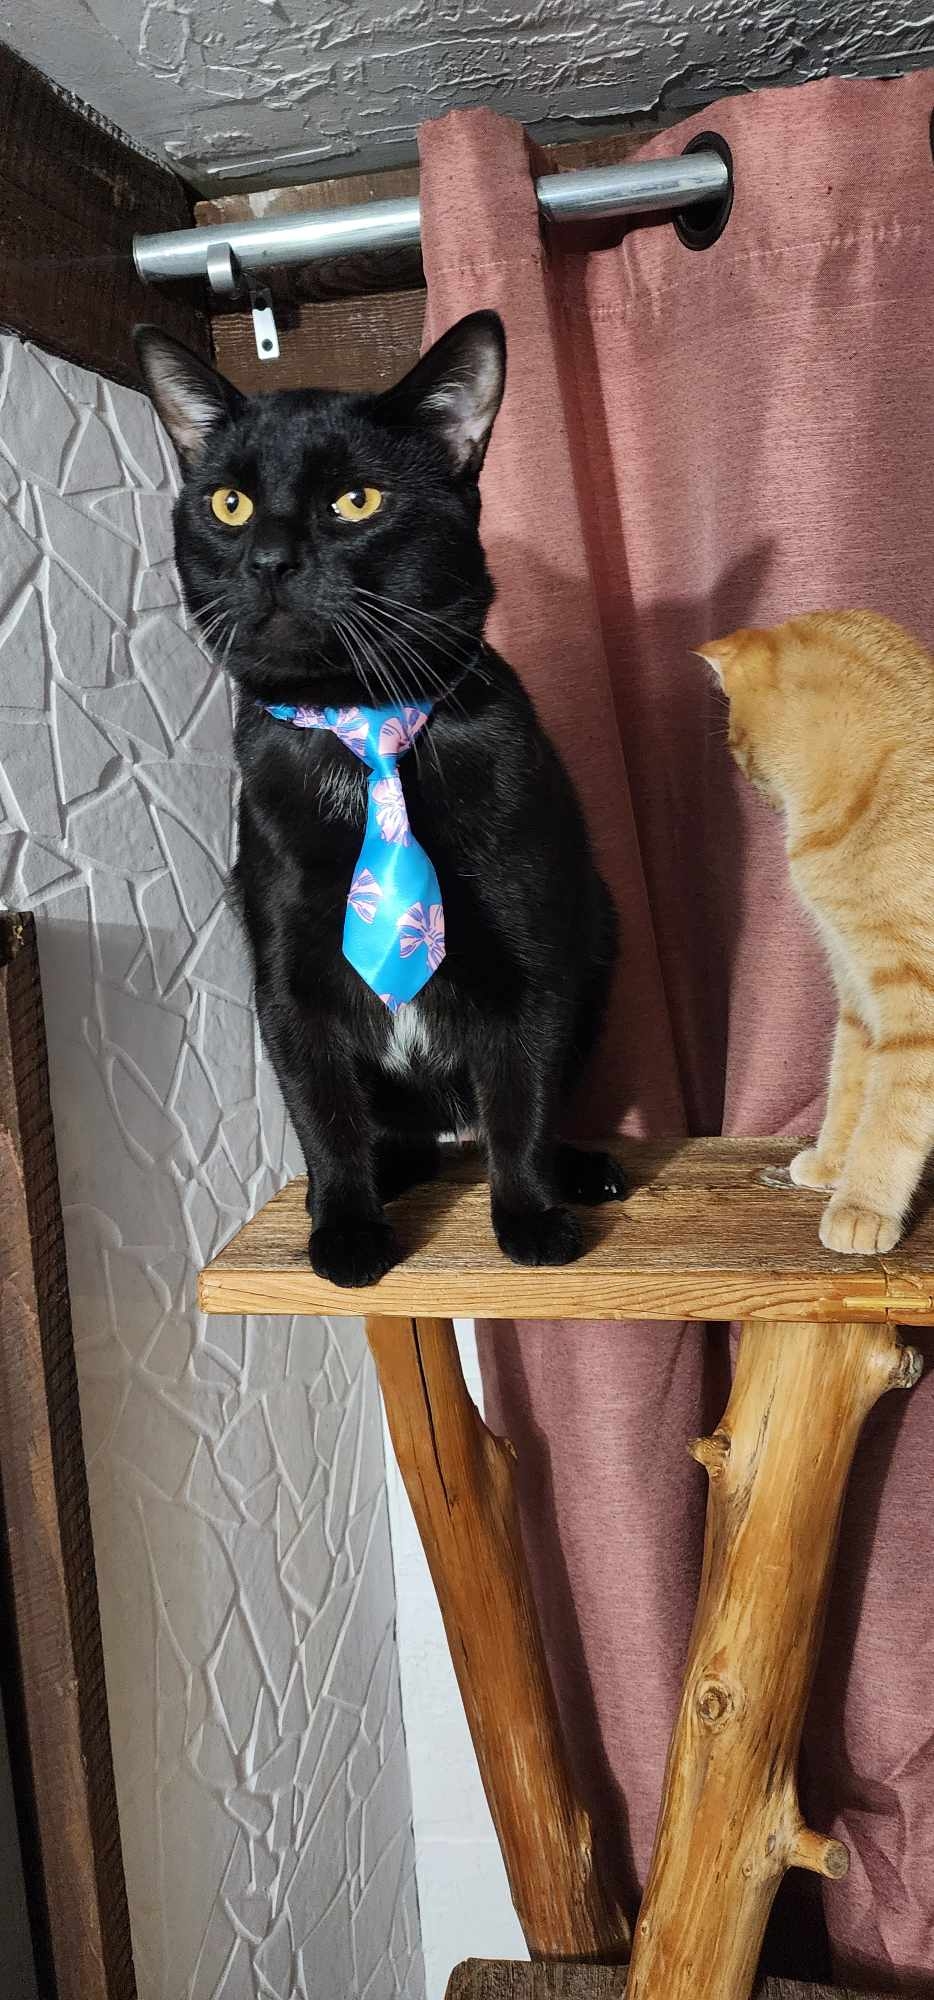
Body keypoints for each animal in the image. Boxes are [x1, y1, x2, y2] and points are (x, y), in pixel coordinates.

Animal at [134, 312, 626, 1287]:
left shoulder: (537, 959)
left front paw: (530, 1218)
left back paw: (580, 1173)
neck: (361, 723)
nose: (270, 558)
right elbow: (323, 1112)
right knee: (383, 1131)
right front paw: (348, 1231)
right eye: (229, 504)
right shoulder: (287, 979)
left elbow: (523, 1097)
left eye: (356, 501)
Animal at [696, 609, 934, 1255]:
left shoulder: (916, 1000)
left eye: (733, 741)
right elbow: (849, 1085)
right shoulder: (857, 988)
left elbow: (892, 1113)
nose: (747, 780)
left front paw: (862, 1204)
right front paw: (832, 1165)